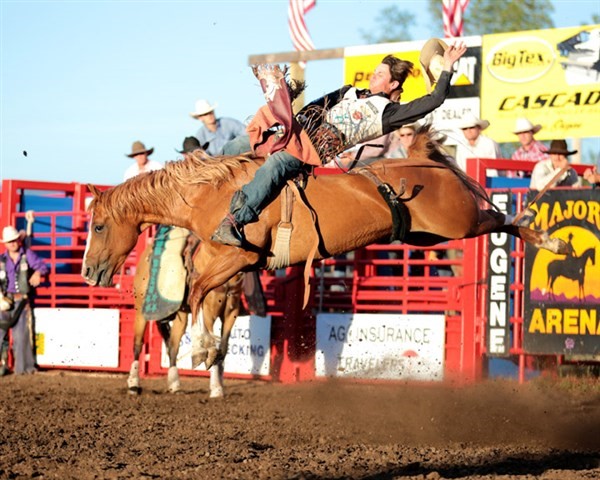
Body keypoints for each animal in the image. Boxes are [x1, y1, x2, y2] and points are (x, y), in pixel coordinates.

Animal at [81, 130, 568, 368]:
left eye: (100, 225)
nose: (88, 272)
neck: (212, 191)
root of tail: (425, 160)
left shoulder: (239, 255)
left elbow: (199, 290)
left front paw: (202, 348)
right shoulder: (227, 259)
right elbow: (194, 293)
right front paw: (204, 348)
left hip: (459, 221)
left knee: (501, 220)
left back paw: (549, 236)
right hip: (428, 235)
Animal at [127, 233, 245, 398]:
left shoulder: (231, 313)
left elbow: (222, 349)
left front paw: (219, 386)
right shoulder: (208, 312)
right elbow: (212, 345)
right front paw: (215, 388)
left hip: (181, 315)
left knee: (173, 346)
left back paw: (174, 385)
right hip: (141, 310)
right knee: (137, 344)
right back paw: (133, 385)